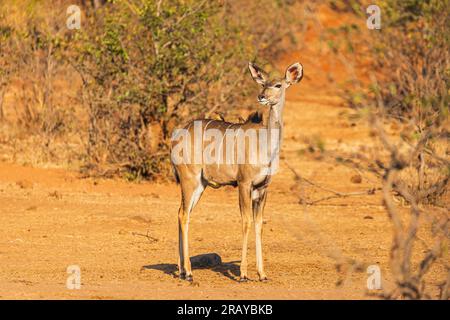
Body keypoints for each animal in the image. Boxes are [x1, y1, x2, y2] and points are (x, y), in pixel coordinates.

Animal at [171, 61, 304, 282]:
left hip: (200, 185)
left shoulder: (262, 188)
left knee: (181, 212)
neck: (266, 144)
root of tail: (175, 137)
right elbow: (246, 221)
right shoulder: (244, 183)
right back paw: (188, 272)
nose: (262, 96)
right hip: (189, 179)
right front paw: (243, 274)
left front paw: (262, 274)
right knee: (183, 214)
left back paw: (182, 271)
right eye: (263, 83)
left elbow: (259, 224)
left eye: (278, 85)